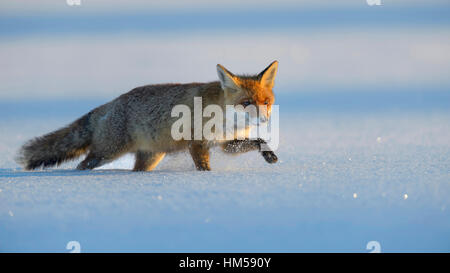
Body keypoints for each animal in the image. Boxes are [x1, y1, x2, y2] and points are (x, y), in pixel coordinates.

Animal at [17, 61, 280, 170]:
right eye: (246, 103)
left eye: (266, 102)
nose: (264, 119)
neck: (224, 120)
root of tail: (107, 106)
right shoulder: (196, 143)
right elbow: (204, 168)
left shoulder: (226, 144)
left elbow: (258, 141)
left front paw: (269, 155)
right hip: (107, 153)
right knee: (83, 164)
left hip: (150, 157)